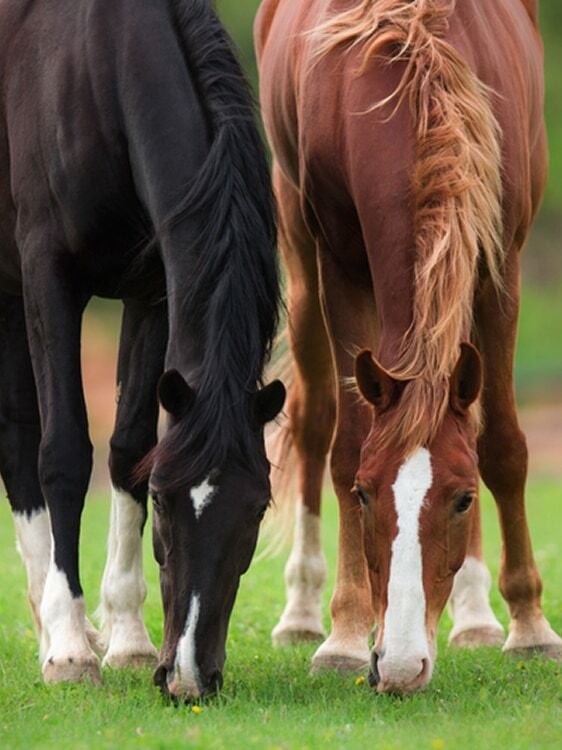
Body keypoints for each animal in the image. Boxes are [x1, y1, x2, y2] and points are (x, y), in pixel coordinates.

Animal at [0, 0, 285, 700]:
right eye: (162, 501)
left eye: (259, 505)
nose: (187, 676)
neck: (95, 63)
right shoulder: (48, 274)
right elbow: (64, 452)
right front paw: (71, 651)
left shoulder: (151, 287)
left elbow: (128, 445)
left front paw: (126, 639)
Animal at [256, 0, 561, 694]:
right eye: (366, 495)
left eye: (462, 498)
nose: (396, 665)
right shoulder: (340, 263)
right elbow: (345, 443)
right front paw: (344, 635)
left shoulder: (501, 259)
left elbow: (501, 444)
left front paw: (531, 627)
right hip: (296, 246)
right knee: (313, 420)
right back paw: (302, 611)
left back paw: (477, 616)